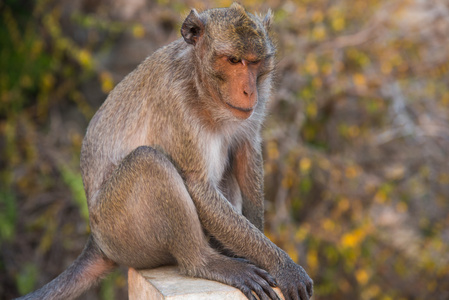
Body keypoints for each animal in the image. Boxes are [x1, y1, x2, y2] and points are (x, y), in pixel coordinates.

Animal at [17, 2, 312, 300]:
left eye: (254, 63)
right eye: (232, 61)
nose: (248, 91)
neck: (202, 88)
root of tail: (96, 242)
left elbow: (244, 152)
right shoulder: (176, 102)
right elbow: (197, 185)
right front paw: (284, 266)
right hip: (119, 233)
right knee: (148, 162)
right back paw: (205, 262)